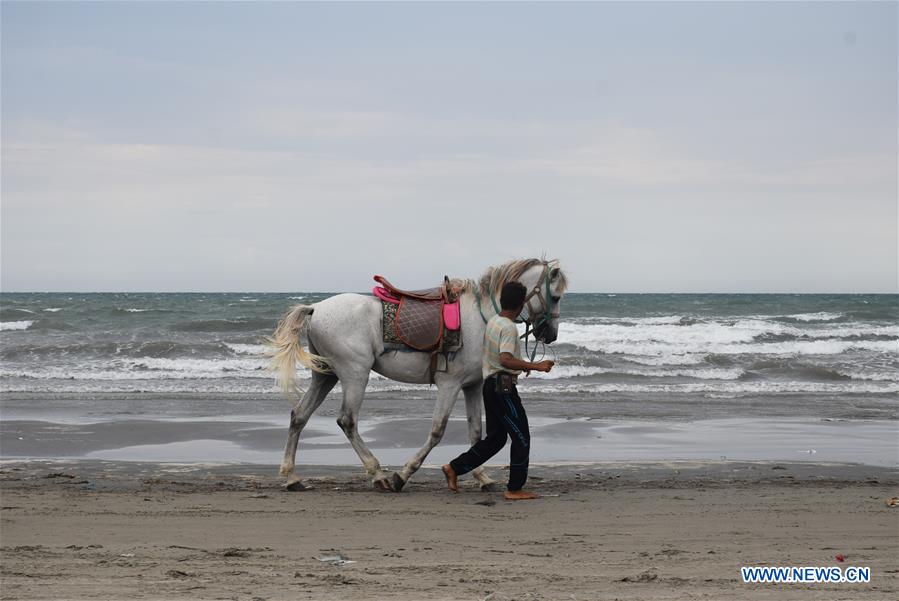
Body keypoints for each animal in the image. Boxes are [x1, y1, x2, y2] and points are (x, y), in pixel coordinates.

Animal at [264, 255, 568, 490]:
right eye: (556, 296)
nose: (551, 335)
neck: (482, 318)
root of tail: (315, 308)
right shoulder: (449, 384)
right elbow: (437, 431)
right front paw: (403, 474)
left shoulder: (471, 386)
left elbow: (475, 433)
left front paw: (482, 477)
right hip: (354, 373)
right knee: (347, 421)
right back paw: (378, 475)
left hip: (326, 374)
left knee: (299, 416)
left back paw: (292, 478)